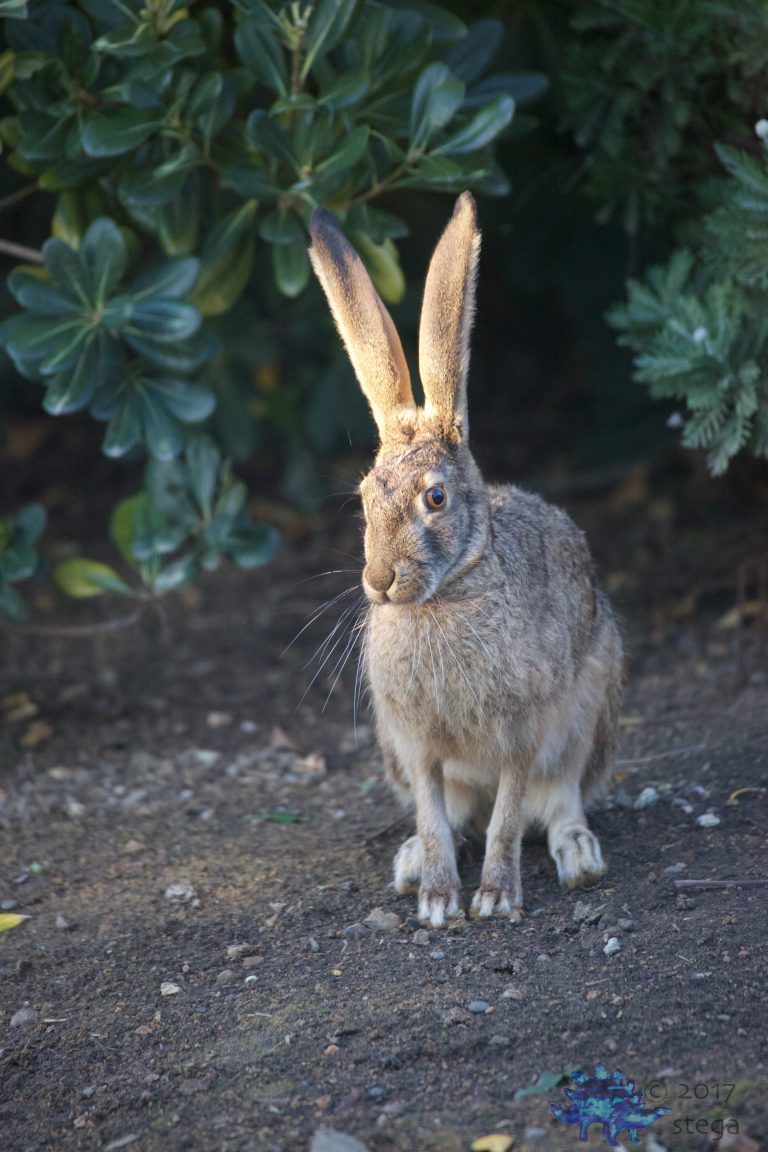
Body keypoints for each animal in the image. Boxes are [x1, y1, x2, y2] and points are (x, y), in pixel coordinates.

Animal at [308, 191, 623, 928]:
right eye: (365, 497)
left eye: (436, 497)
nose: (379, 581)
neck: (445, 596)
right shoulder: (415, 746)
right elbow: (431, 815)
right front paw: (435, 900)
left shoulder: (520, 734)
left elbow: (508, 816)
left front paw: (496, 897)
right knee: (452, 817)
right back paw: (409, 865)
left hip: (590, 708)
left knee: (560, 799)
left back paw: (580, 857)